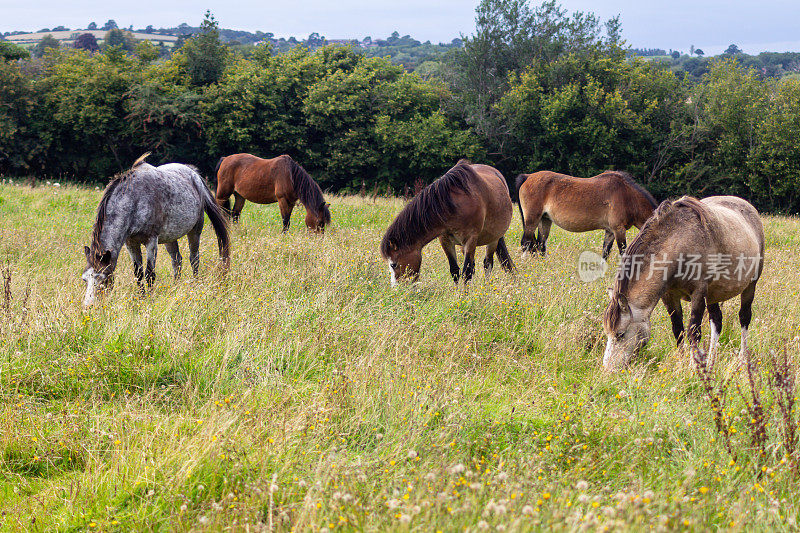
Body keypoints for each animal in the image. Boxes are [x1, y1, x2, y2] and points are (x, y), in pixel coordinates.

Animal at [81, 153, 230, 308]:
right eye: (85, 279)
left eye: (103, 279)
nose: (88, 306)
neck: (135, 200)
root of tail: (194, 175)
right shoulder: (131, 243)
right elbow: (138, 273)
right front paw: (141, 298)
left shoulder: (151, 241)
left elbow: (149, 274)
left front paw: (150, 299)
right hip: (170, 237)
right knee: (177, 261)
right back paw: (175, 286)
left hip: (195, 231)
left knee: (194, 259)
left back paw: (194, 285)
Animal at [380, 160, 516, 284]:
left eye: (393, 264)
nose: (397, 290)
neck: (454, 206)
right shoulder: (445, 241)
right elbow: (455, 270)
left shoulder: (471, 240)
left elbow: (467, 272)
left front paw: (464, 294)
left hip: (493, 239)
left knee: (488, 263)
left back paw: (486, 286)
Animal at [520, 169, 656, 258]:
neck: (628, 196)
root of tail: (528, 176)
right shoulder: (619, 230)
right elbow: (623, 253)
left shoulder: (610, 231)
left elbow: (605, 253)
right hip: (532, 220)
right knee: (525, 243)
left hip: (544, 220)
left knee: (540, 245)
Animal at [604, 194, 764, 370]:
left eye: (620, 334)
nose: (608, 369)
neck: (680, 243)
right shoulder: (669, 296)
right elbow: (677, 329)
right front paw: (682, 363)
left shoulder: (699, 293)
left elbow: (693, 332)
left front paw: (694, 367)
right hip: (713, 295)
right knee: (716, 321)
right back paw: (711, 361)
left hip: (750, 285)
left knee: (744, 317)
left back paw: (742, 359)